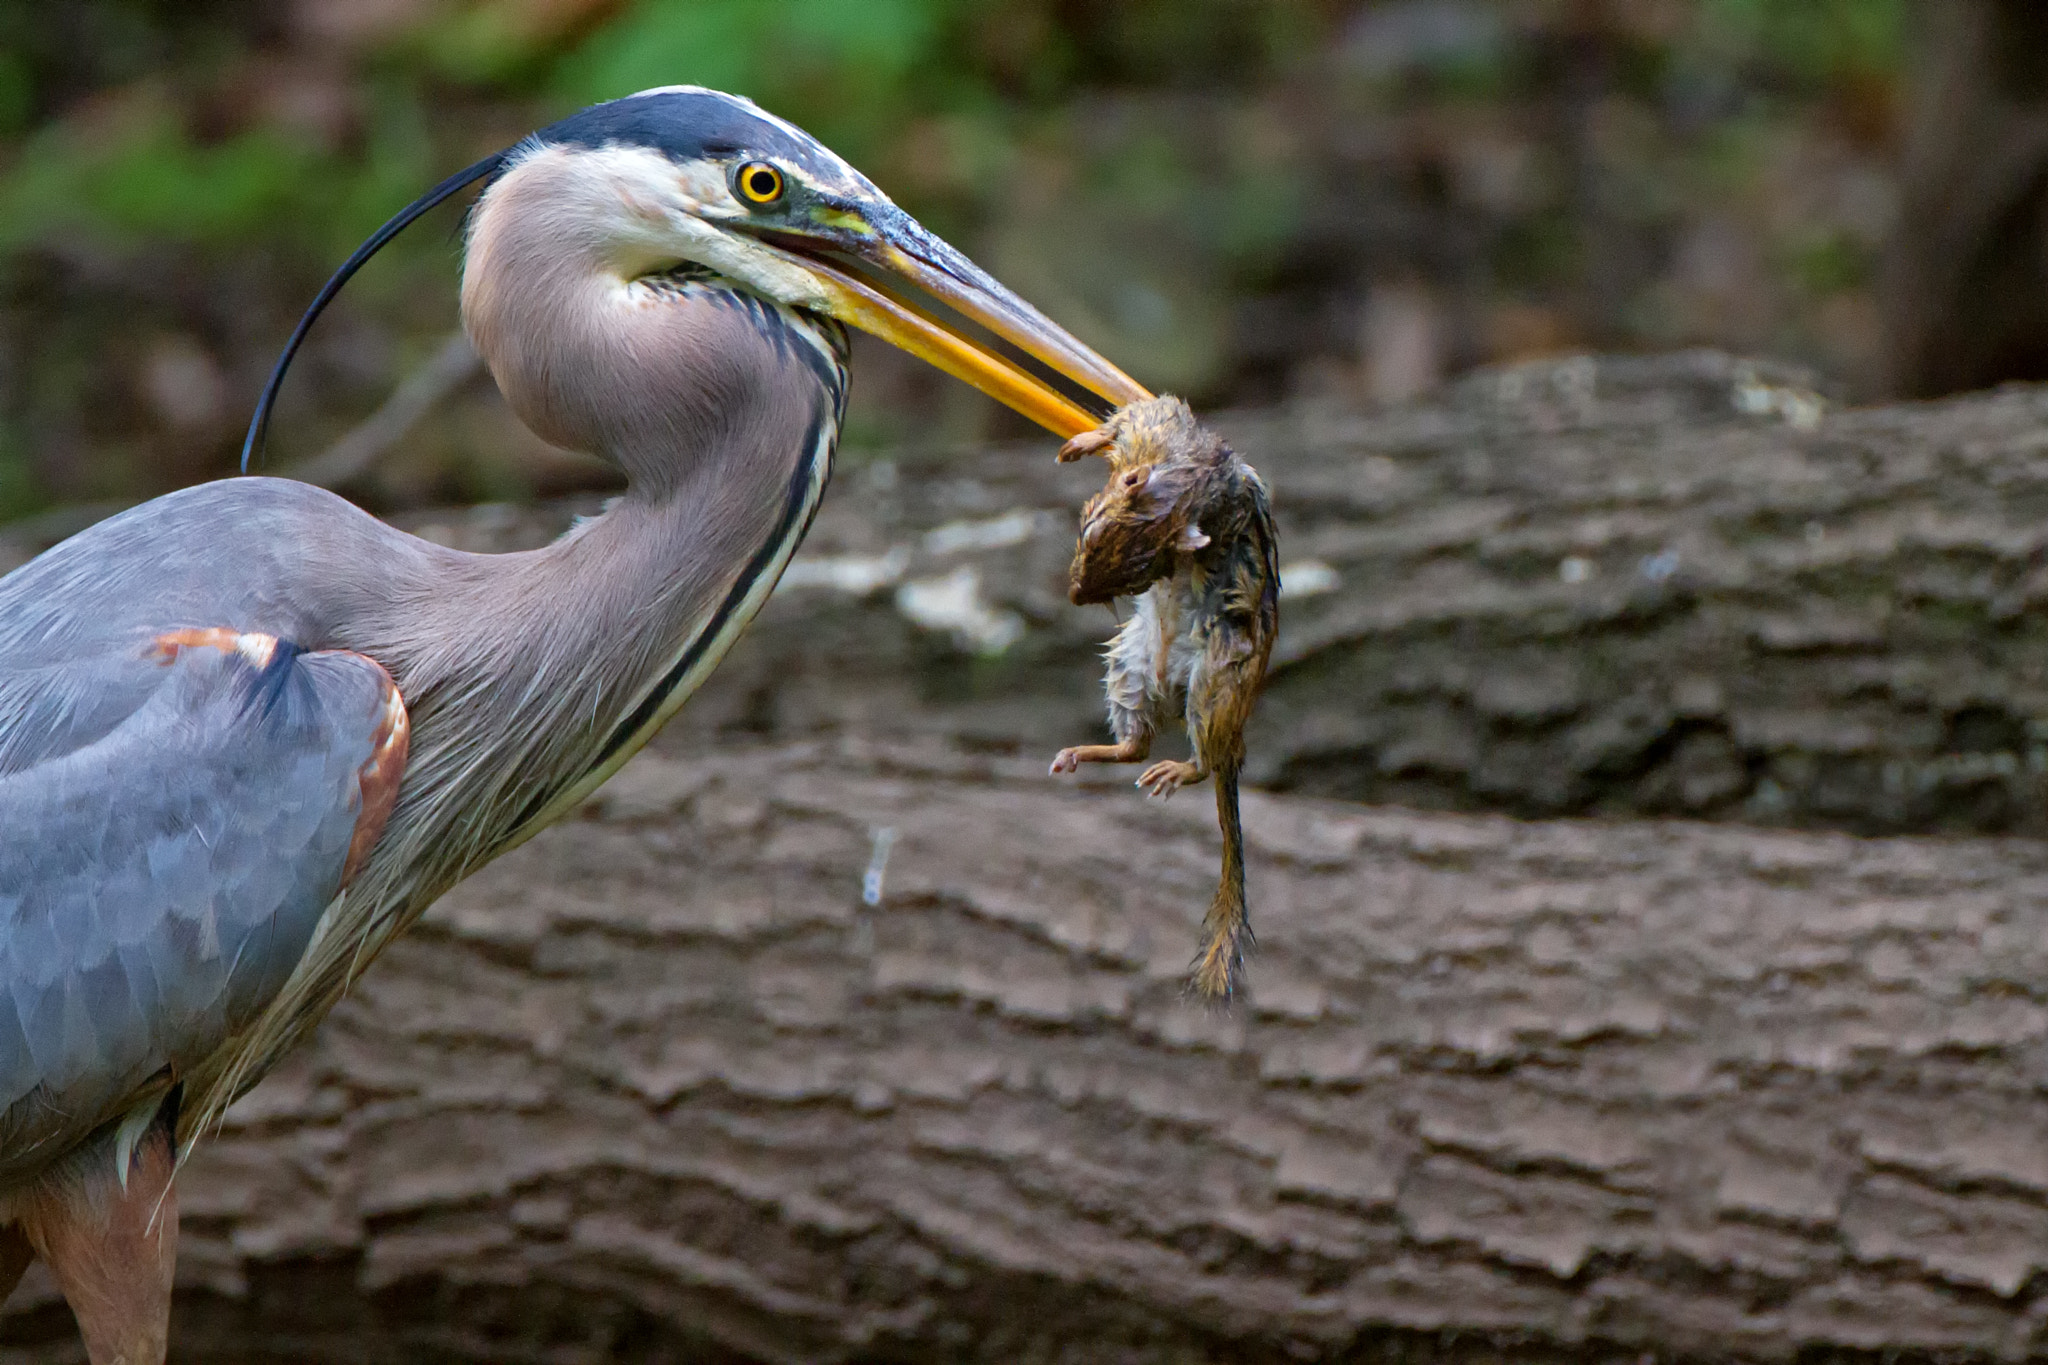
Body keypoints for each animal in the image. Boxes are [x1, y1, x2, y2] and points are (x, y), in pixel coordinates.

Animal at [1049, 397, 1279, 1000]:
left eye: (1138, 576)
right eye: (1088, 534)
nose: (1075, 594)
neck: (1187, 482)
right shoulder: (1154, 427)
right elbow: (1123, 421)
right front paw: (1081, 443)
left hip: (1214, 684)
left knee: (1196, 760)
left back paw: (1178, 770)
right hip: (1127, 670)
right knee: (1135, 746)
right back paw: (1079, 755)